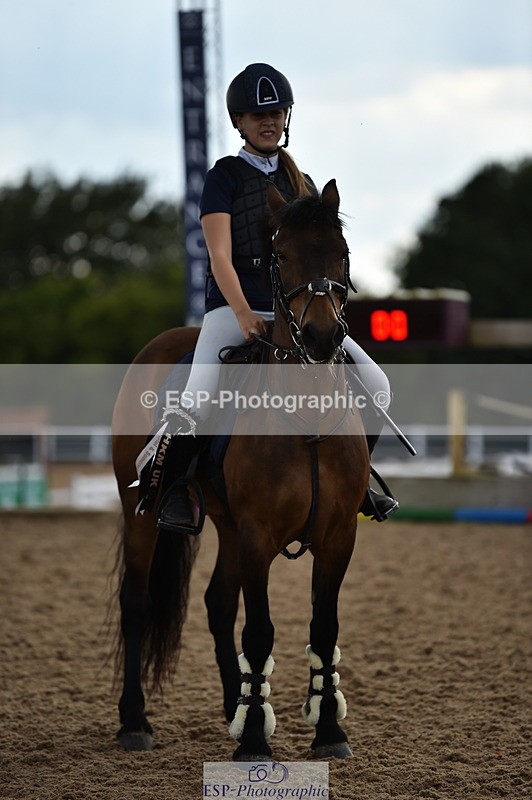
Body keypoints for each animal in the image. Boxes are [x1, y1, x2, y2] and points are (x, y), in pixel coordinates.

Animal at [111, 179, 370, 760]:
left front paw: (328, 731)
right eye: (281, 254)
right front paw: (254, 741)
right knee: (137, 602)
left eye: (341, 253)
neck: (305, 415)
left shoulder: (338, 535)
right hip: (141, 510)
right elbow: (260, 631)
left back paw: (235, 703)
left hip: (226, 525)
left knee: (217, 603)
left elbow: (324, 628)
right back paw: (135, 721)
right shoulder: (258, 534)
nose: (321, 337)